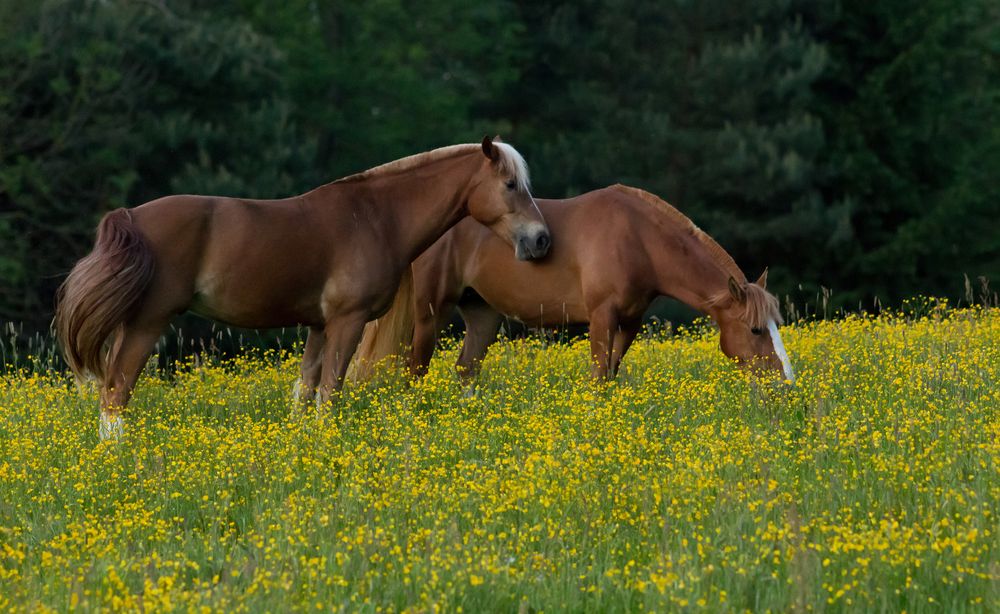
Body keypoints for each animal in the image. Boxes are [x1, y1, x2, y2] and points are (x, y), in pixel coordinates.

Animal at [57, 137, 552, 440]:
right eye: (510, 184)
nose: (541, 239)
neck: (376, 216)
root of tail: (131, 216)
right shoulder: (347, 323)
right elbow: (329, 395)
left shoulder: (317, 326)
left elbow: (305, 392)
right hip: (148, 323)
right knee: (115, 392)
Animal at [352, 185, 796, 382]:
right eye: (756, 330)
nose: (785, 381)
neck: (637, 238)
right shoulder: (602, 317)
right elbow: (598, 377)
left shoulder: (629, 322)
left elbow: (611, 375)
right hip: (430, 314)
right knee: (415, 372)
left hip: (483, 314)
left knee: (466, 370)